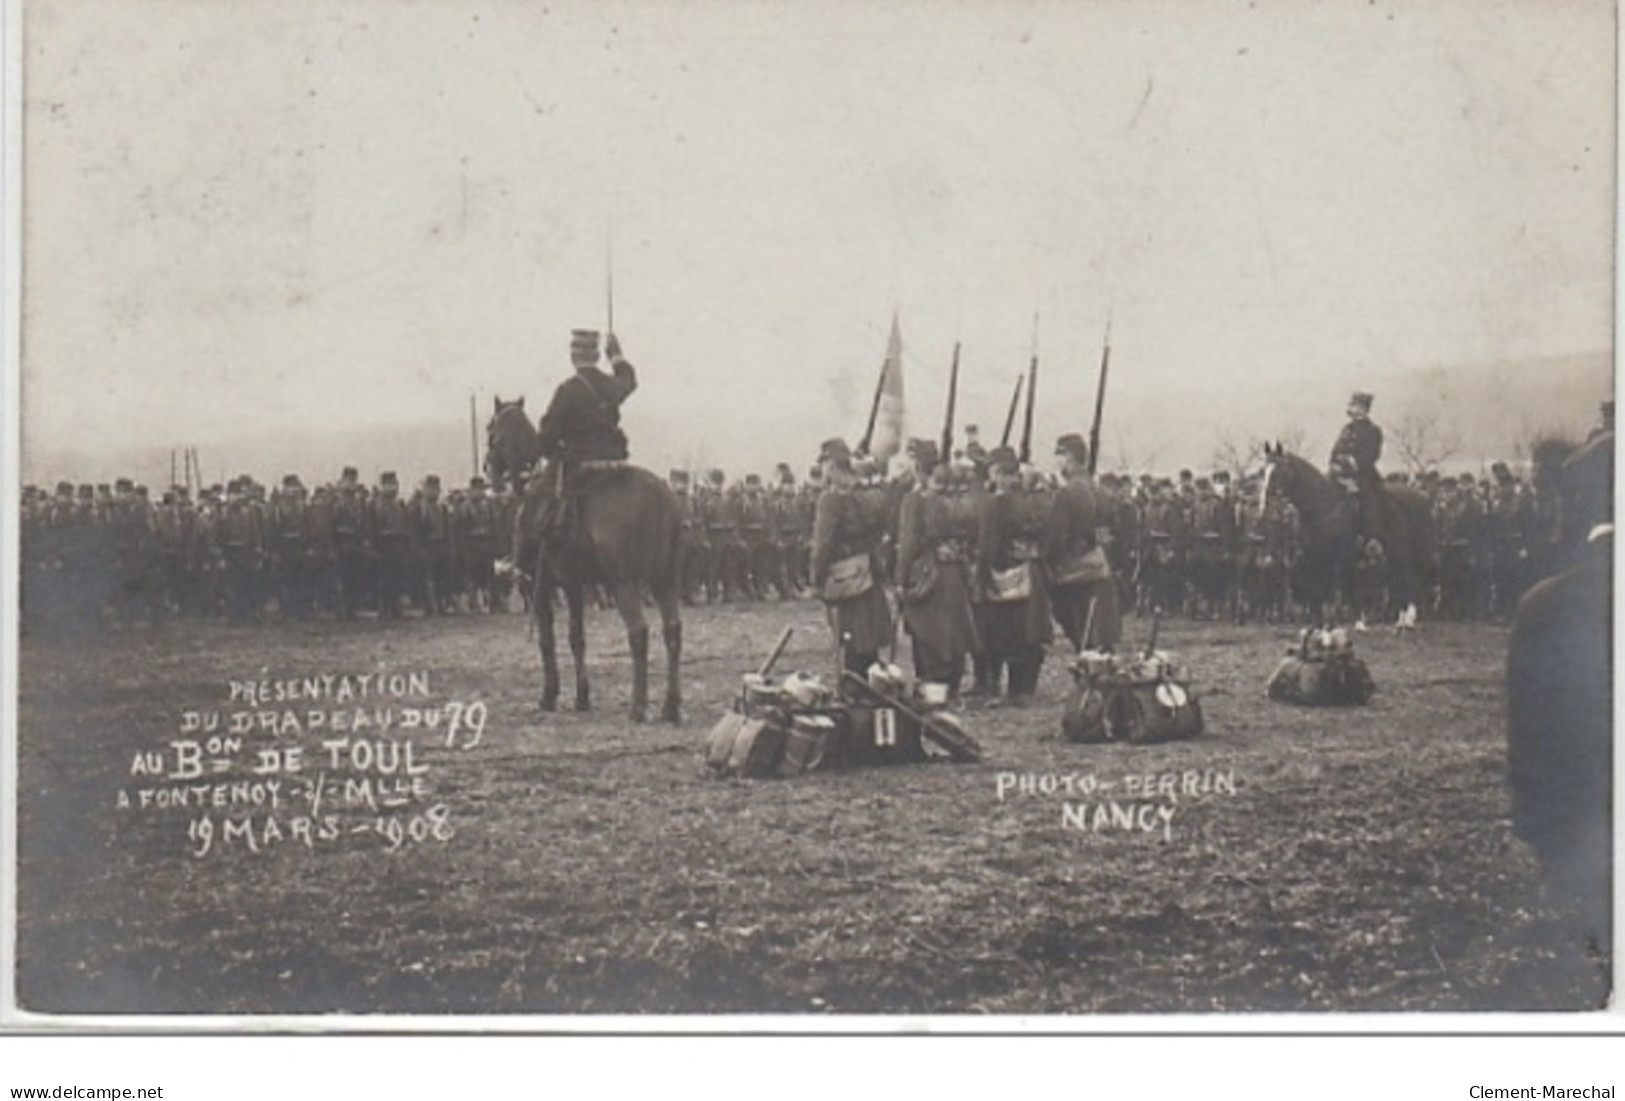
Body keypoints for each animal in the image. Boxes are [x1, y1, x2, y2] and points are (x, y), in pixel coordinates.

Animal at [481, 401, 685, 727]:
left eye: (492, 428)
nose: (487, 468)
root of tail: (661, 499)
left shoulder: (538, 585)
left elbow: (547, 639)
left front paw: (549, 695)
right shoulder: (573, 585)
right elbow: (577, 638)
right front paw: (582, 697)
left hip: (624, 583)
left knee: (638, 633)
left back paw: (638, 707)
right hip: (665, 580)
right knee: (673, 631)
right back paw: (670, 706)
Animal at [1254, 441, 1436, 630]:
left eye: (1278, 471)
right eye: (1263, 470)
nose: (1264, 504)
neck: (1323, 505)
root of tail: (1421, 497)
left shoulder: (1339, 556)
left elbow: (1338, 588)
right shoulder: (1313, 555)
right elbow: (1317, 587)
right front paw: (1318, 623)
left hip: (1403, 550)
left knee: (1408, 577)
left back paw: (1407, 619)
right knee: (1400, 578)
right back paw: (1402, 618)